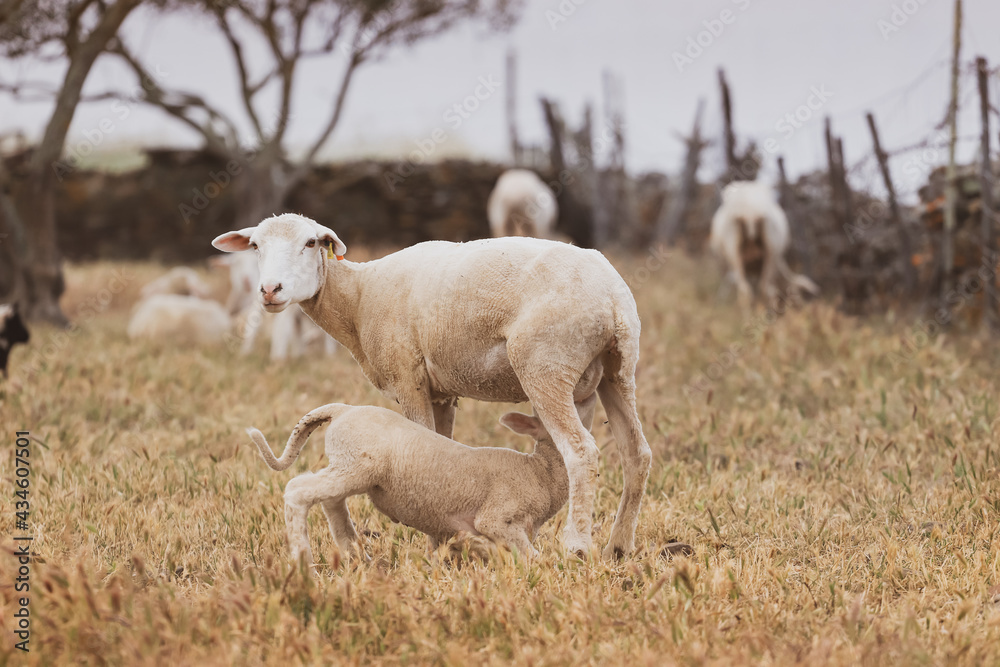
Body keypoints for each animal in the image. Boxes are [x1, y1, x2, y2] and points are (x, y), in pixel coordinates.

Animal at [247, 396, 596, 568]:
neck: (540, 472)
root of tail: (342, 410)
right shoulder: (496, 517)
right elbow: (529, 556)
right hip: (357, 465)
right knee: (298, 491)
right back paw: (303, 562)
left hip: (347, 466)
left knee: (329, 500)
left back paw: (359, 558)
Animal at [704, 180, 820, 310]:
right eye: (796, 292)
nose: (801, 308)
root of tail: (749, 209)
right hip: (768, 253)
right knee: (762, 289)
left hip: (735, 251)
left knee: (748, 290)